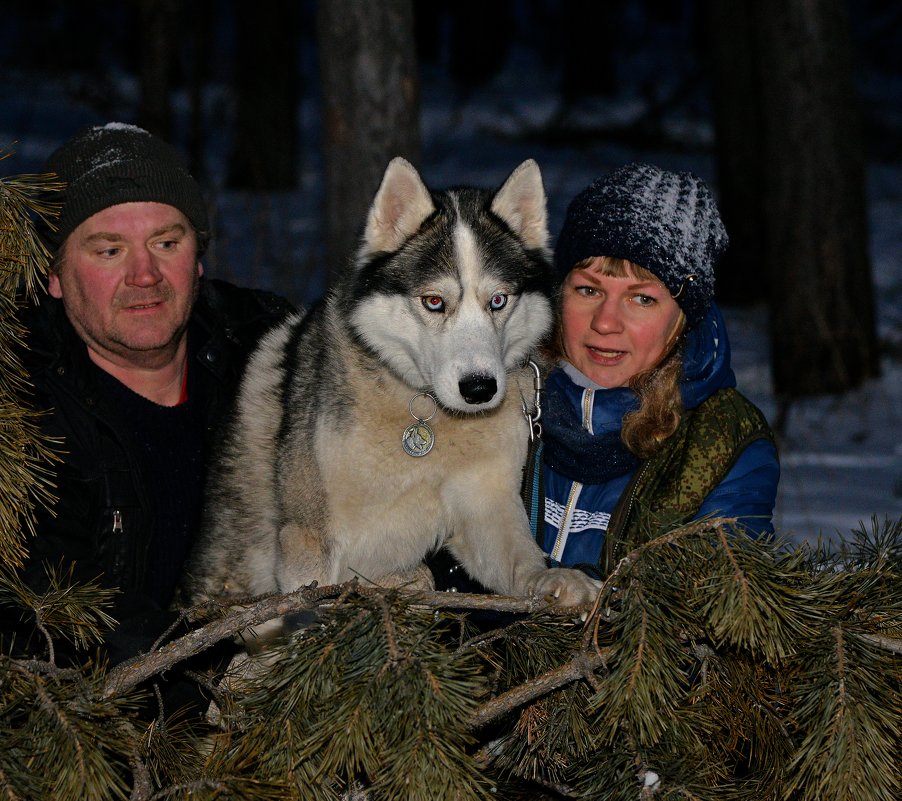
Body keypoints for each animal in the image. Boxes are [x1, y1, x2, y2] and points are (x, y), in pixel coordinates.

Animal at [185, 156, 600, 608]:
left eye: (498, 300)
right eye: (434, 301)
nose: (479, 389)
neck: (427, 415)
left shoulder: (485, 508)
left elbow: (522, 561)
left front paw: (556, 580)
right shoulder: (308, 545)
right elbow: (322, 591)